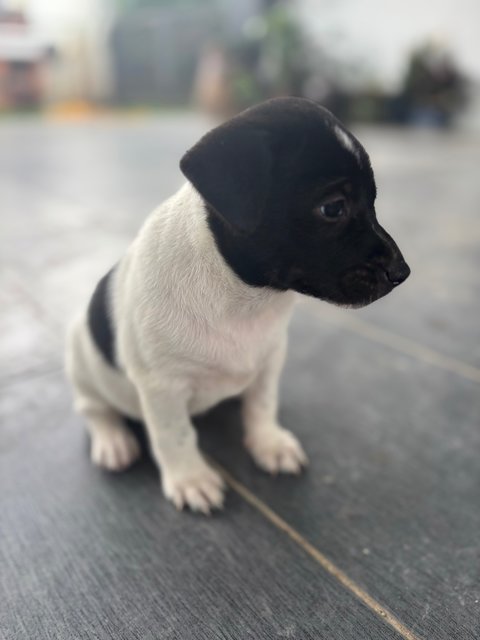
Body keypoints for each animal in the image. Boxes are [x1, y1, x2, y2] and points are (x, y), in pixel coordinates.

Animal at [65, 96, 410, 516]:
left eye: (374, 201)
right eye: (333, 208)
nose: (402, 272)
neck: (242, 294)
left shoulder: (270, 360)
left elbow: (262, 404)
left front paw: (269, 443)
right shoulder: (163, 387)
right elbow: (174, 434)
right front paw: (190, 478)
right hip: (83, 365)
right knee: (95, 409)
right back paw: (113, 440)